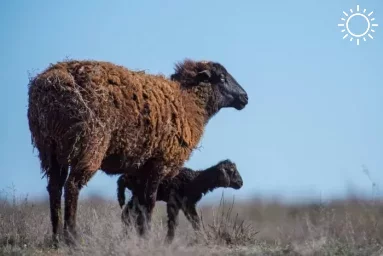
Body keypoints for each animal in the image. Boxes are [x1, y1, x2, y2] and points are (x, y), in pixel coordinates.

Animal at [27, 58, 249, 244]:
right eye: (222, 77)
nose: (244, 97)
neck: (189, 103)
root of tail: (51, 82)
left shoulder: (141, 168)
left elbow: (140, 204)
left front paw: (141, 235)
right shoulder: (159, 162)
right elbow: (149, 202)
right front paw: (147, 236)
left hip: (51, 149)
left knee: (54, 188)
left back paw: (56, 238)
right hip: (88, 145)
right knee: (72, 186)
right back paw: (72, 237)